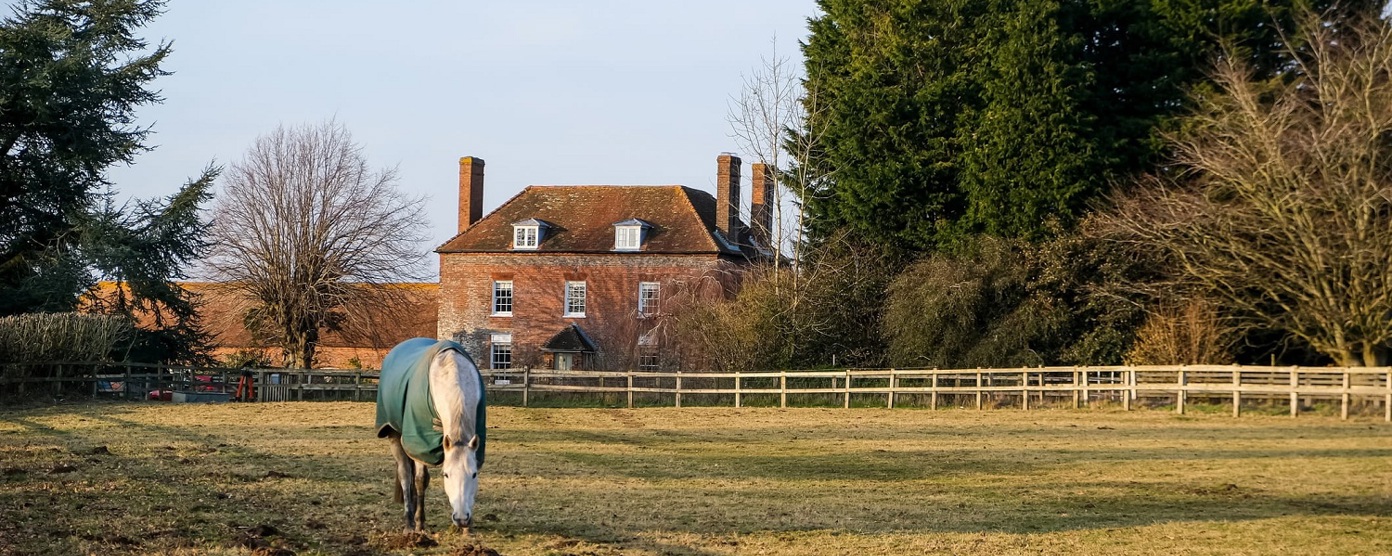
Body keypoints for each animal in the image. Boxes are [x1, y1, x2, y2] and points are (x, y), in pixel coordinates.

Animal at [375, 338, 487, 532]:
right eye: (445, 474)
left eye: (473, 475)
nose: (462, 518)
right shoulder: (420, 443)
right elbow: (420, 480)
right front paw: (419, 523)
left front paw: (468, 530)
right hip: (395, 435)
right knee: (406, 475)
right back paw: (409, 521)